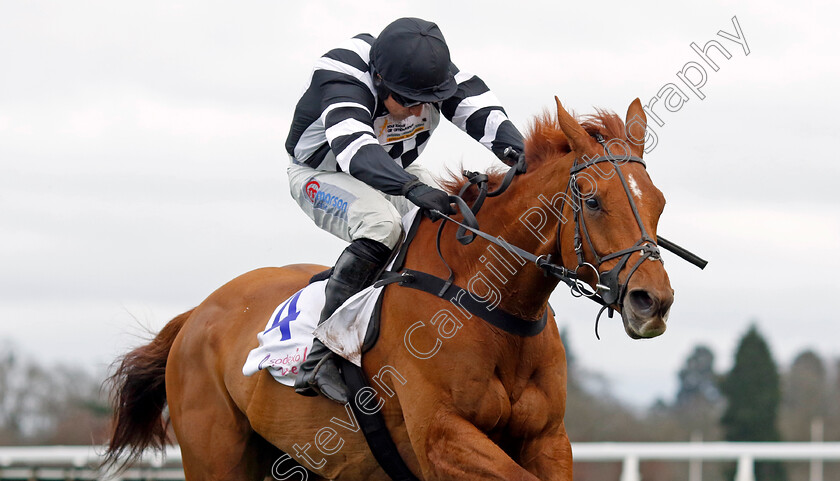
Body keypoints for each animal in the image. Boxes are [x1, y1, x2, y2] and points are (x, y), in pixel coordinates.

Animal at [108, 98, 676, 480]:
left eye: (660, 201)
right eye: (593, 200)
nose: (653, 301)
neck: (490, 306)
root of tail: (197, 314)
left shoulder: (548, 438)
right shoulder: (442, 438)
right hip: (216, 455)